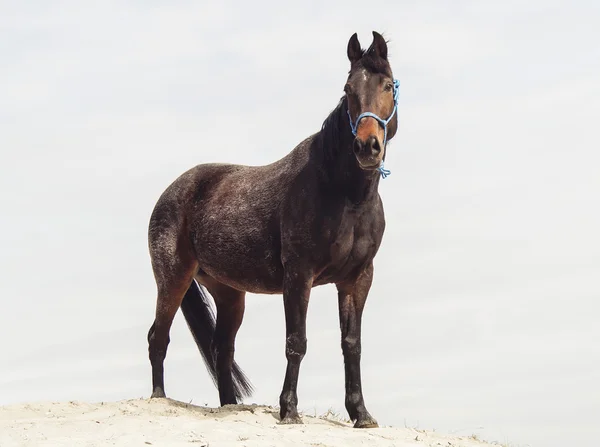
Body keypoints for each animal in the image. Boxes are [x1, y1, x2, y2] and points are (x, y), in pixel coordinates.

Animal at [146, 29, 400, 428]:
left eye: (387, 85)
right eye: (347, 89)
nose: (367, 146)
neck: (343, 194)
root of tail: (172, 191)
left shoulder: (357, 278)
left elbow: (352, 344)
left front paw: (361, 414)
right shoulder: (299, 276)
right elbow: (296, 342)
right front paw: (289, 410)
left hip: (228, 293)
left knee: (222, 350)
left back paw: (229, 405)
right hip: (173, 279)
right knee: (159, 337)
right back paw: (159, 399)